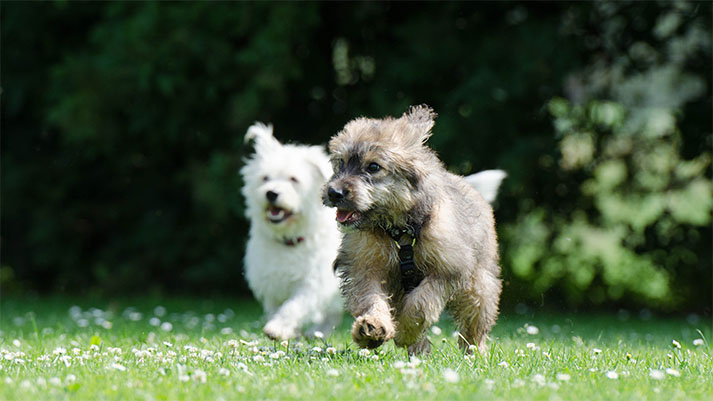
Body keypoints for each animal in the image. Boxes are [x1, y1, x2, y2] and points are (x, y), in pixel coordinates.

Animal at [241, 122, 344, 340]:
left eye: (293, 179)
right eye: (265, 178)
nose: (271, 193)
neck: (289, 239)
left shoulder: (312, 283)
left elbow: (294, 306)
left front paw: (278, 328)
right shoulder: (272, 283)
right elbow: (276, 307)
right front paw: (286, 330)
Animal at [322, 104, 500, 354]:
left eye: (373, 167)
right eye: (341, 162)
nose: (334, 192)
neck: (399, 231)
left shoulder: (447, 269)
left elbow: (420, 304)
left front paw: (405, 331)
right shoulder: (366, 266)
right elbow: (371, 298)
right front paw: (373, 327)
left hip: (479, 285)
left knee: (475, 322)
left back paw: (474, 352)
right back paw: (419, 349)